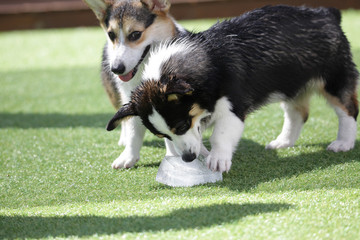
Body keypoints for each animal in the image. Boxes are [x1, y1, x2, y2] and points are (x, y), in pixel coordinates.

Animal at [83, 0, 187, 169]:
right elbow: (132, 129)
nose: (116, 69)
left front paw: (173, 154)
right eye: (111, 35)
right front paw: (128, 157)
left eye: (135, 34)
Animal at [106, 5, 358, 172]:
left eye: (182, 125)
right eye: (162, 135)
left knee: (348, 110)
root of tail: (326, 13)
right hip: (291, 84)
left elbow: (220, 135)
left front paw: (217, 159)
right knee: (298, 113)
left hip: (334, 80)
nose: (188, 159)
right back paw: (284, 142)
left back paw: (343, 143)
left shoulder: (232, 109)